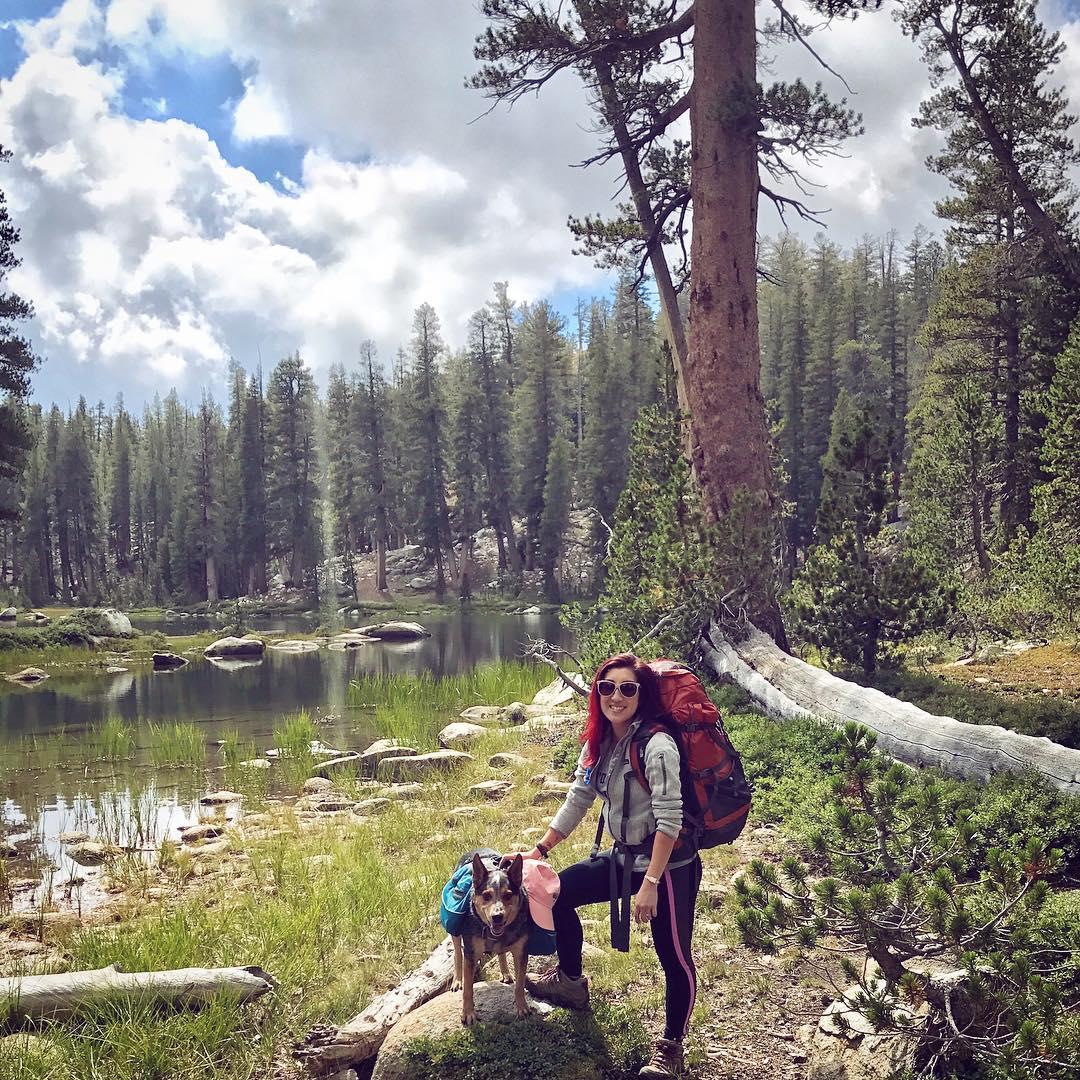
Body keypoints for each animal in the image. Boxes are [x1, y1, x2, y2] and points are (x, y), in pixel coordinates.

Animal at [447, 846, 531, 1023]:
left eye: (508, 895)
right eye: (486, 895)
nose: (497, 916)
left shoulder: (521, 952)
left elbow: (520, 984)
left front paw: (522, 1007)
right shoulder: (471, 953)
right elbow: (468, 989)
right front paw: (468, 1013)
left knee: (501, 952)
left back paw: (505, 973)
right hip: (455, 931)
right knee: (457, 953)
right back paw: (457, 981)